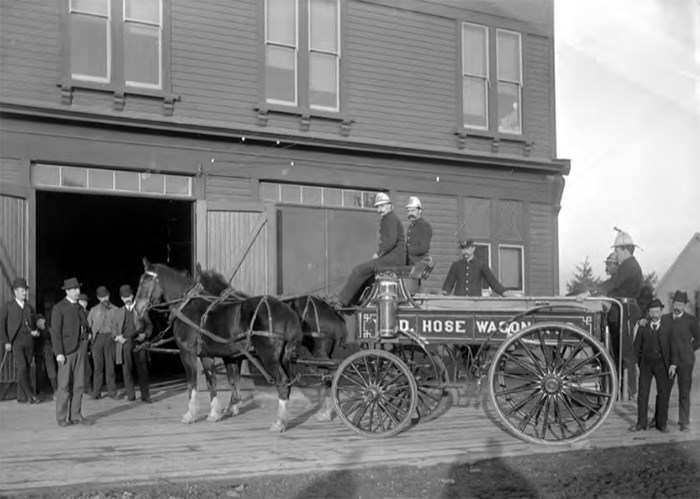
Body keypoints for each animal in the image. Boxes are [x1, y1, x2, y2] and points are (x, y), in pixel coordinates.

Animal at [134, 260, 300, 432]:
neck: (187, 306)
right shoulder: (207, 355)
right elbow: (212, 382)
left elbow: (192, 383)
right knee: (288, 383)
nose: (136, 308)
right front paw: (215, 413)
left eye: (146, 281)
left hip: (268, 356)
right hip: (283, 357)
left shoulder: (187, 353)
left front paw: (190, 414)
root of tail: (289, 312)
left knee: (282, 381)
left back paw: (279, 422)